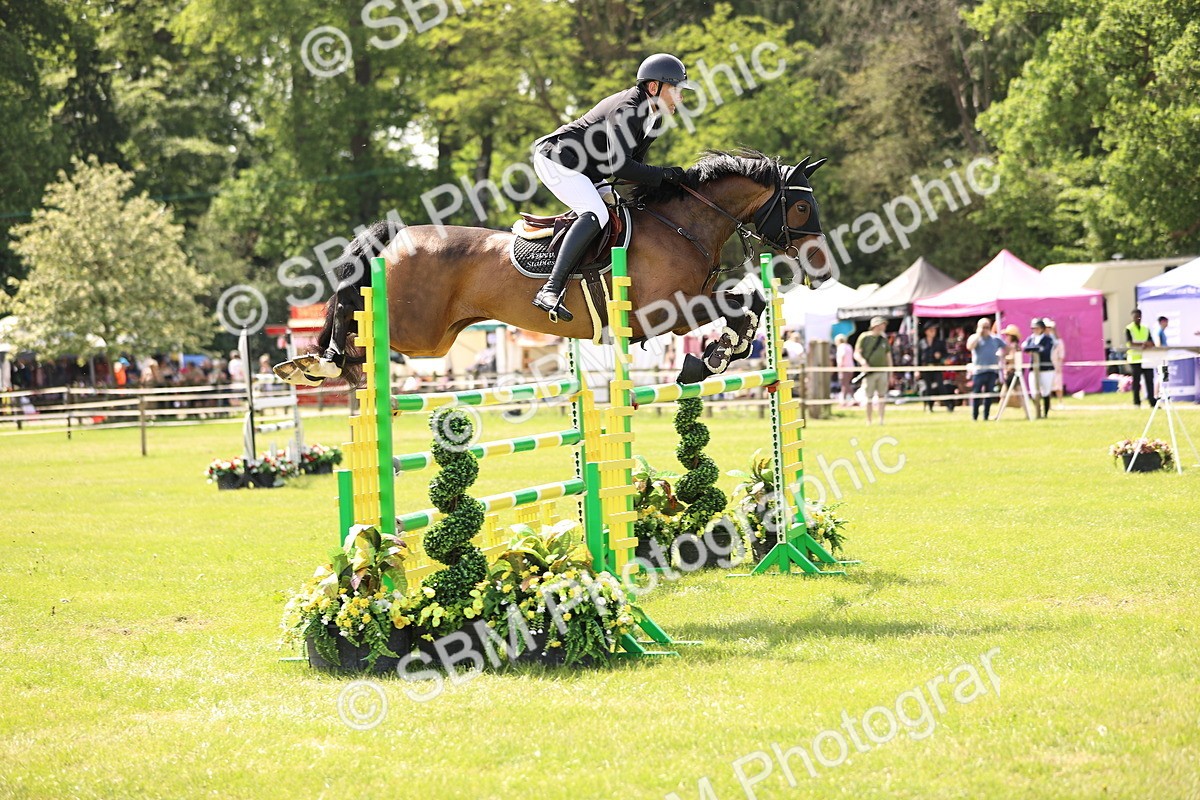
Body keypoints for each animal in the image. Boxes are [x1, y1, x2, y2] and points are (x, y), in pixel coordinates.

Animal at [274, 149, 829, 388]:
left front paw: (713, 357)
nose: (821, 270)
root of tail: (399, 236)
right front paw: (711, 357)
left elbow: (750, 304)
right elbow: (742, 303)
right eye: (802, 207)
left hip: (433, 338)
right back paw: (316, 361)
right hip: (416, 331)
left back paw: (322, 363)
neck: (681, 224)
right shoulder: (663, 312)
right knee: (349, 307)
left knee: (355, 324)